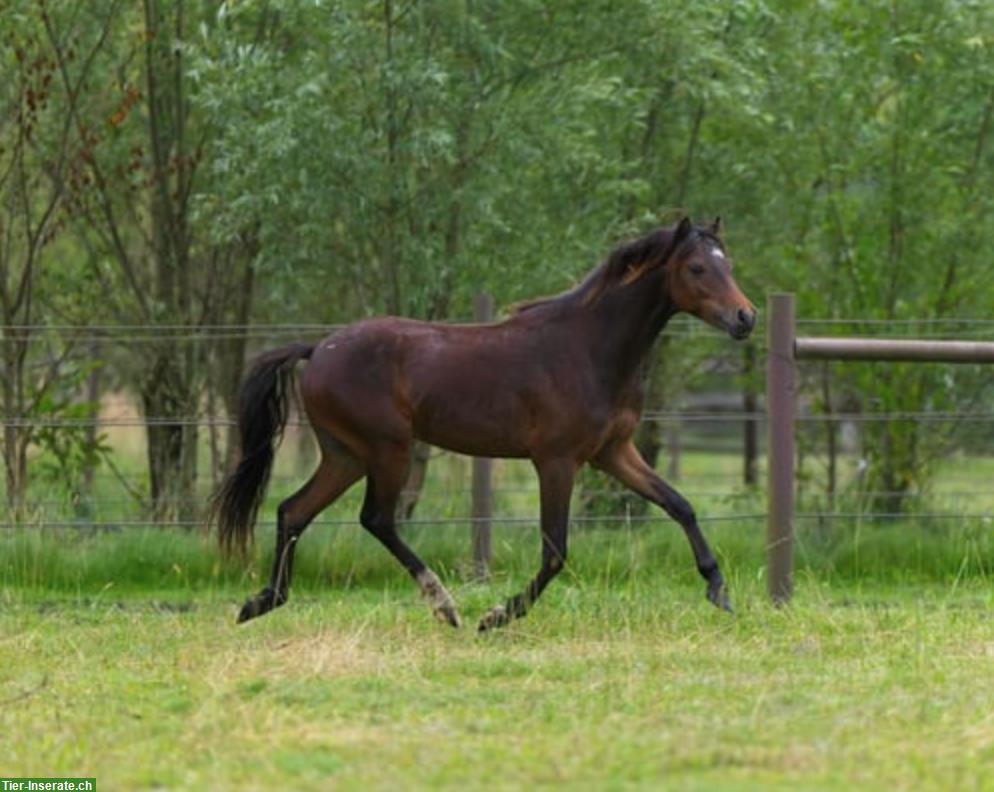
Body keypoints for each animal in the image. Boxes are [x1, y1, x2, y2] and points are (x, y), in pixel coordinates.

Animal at [212, 216, 756, 631]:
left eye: (727, 263)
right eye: (697, 267)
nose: (745, 318)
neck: (588, 349)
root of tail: (317, 349)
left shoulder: (614, 452)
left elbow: (679, 504)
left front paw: (718, 589)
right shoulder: (556, 461)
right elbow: (555, 550)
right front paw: (498, 615)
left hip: (346, 454)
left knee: (293, 511)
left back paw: (261, 602)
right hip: (387, 448)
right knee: (376, 519)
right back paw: (446, 605)